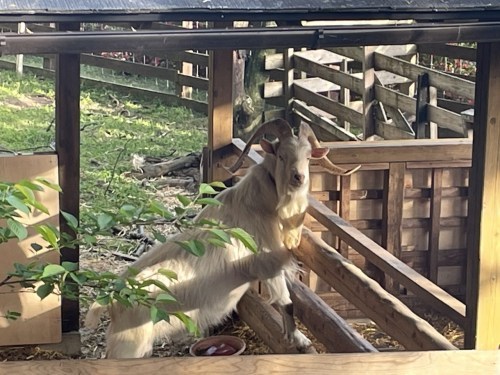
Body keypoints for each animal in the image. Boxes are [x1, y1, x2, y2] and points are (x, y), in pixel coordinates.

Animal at [86, 119, 360, 360]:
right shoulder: (268, 266)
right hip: (129, 344)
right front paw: (299, 340)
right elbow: (286, 302)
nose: (298, 178)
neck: (265, 205)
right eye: (282, 155)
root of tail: (111, 299)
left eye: (308, 156)